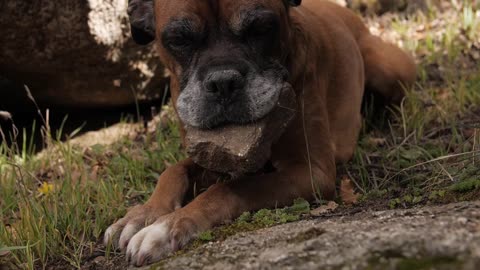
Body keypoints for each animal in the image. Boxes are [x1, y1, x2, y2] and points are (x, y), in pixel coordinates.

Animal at [104, 0, 416, 266]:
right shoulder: (210, 155)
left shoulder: (313, 173)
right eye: (180, 39)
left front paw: (166, 228)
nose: (223, 81)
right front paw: (143, 215)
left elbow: (233, 187)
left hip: (386, 69)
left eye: (260, 28)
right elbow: (173, 171)